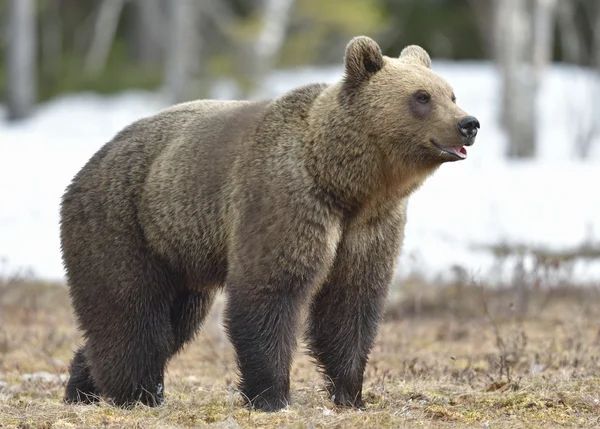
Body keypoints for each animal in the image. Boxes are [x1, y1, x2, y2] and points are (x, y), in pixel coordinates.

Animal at [61, 36, 480, 412]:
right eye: (422, 96)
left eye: (451, 93)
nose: (469, 123)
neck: (345, 184)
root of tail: (91, 162)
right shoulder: (284, 201)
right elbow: (270, 293)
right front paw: (271, 397)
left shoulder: (369, 228)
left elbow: (351, 304)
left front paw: (352, 395)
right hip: (123, 222)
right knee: (130, 311)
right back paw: (138, 394)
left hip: (178, 255)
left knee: (173, 320)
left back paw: (83, 386)